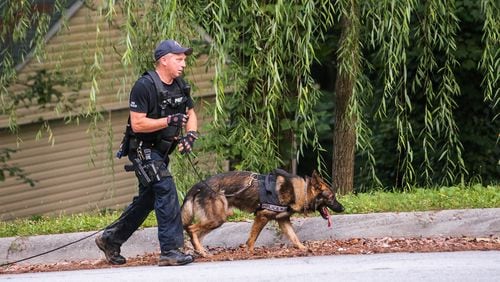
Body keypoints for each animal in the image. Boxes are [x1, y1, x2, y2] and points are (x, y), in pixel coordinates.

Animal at [182, 169, 346, 256]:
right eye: (332, 197)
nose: (343, 208)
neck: (301, 192)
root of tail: (199, 185)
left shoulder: (283, 221)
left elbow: (294, 237)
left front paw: (303, 248)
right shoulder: (262, 217)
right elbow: (252, 239)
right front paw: (249, 252)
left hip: (215, 219)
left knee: (196, 234)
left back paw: (200, 251)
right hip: (218, 218)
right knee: (191, 229)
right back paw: (200, 251)